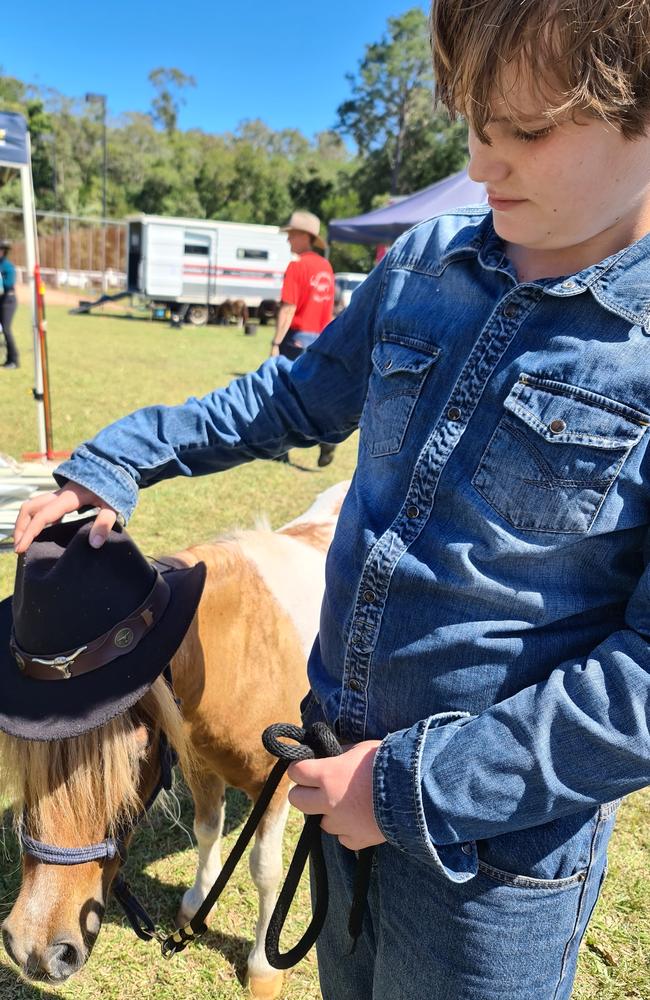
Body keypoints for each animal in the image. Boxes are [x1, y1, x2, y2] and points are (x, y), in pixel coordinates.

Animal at [1, 480, 350, 996]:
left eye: (137, 749)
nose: (35, 949)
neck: (246, 655)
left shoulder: (280, 784)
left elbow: (265, 871)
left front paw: (263, 970)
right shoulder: (201, 767)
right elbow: (207, 830)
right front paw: (196, 901)